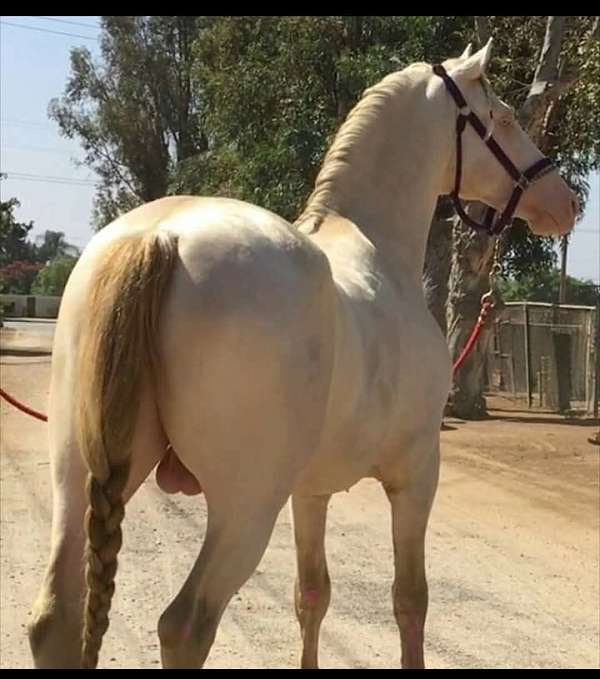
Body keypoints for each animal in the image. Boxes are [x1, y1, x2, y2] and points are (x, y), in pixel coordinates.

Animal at [28, 42, 576, 668]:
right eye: (503, 118)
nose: (566, 201)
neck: (375, 246)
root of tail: (162, 236)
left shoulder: (310, 491)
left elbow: (311, 594)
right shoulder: (417, 474)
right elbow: (410, 600)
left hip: (79, 474)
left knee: (55, 619)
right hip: (245, 508)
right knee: (184, 625)